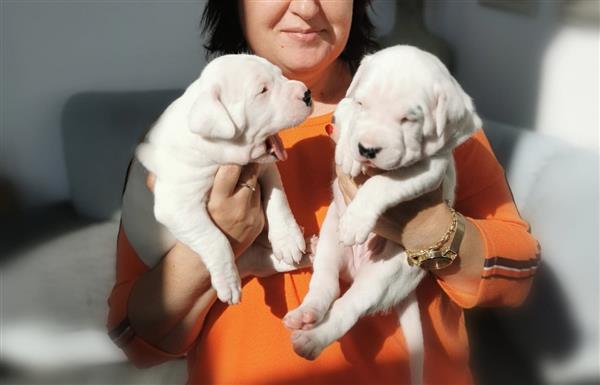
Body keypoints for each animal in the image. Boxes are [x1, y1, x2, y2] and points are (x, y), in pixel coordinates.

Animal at [126, 54, 314, 304]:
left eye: (281, 74)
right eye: (263, 91)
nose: (307, 93)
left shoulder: (266, 167)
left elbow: (278, 199)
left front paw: (288, 238)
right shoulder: (178, 206)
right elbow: (214, 238)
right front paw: (228, 282)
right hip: (245, 257)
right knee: (264, 263)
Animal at [282, 44, 482, 380]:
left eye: (407, 119)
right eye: (363, 103)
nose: (367, 150)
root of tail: (354, 269)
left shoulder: (429, 169)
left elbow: (383, 184)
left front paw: (356, 220)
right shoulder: (345, 106)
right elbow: (345, 115)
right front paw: (348, 153)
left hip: (383, 276)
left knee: (346, 308)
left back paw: (312, 340)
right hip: (330, 246)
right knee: (324, 286)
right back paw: (306, 314)